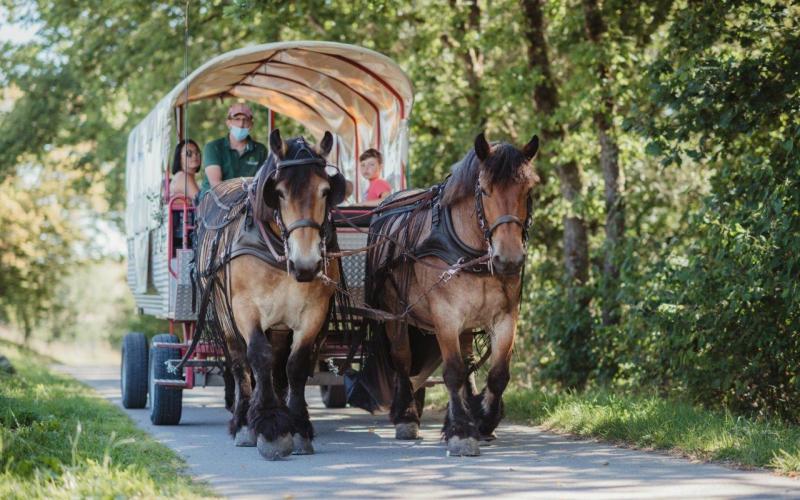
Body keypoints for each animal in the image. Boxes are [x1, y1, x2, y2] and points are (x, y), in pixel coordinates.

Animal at [195, 130, 346, 460]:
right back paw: (242, 421)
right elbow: (258, 357)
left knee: (277, 362)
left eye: (326, 191)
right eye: (279, 192)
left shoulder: (314, 311)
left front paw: (298, 426)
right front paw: (269, 425)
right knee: (240, 362)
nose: (306, 264)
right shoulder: (244, 307)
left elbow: (295, 365)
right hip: (224, 313)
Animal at [366, 132, 540, 458]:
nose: (509, 259)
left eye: (528, 189)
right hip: (395, 314)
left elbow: (497, 374)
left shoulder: (506, 316)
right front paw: (461, 431)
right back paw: (406, 415)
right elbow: (453, 372)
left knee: (468, 360)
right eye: (484, 189)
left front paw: (483, 421)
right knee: (403, 360)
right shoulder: (445, 316)